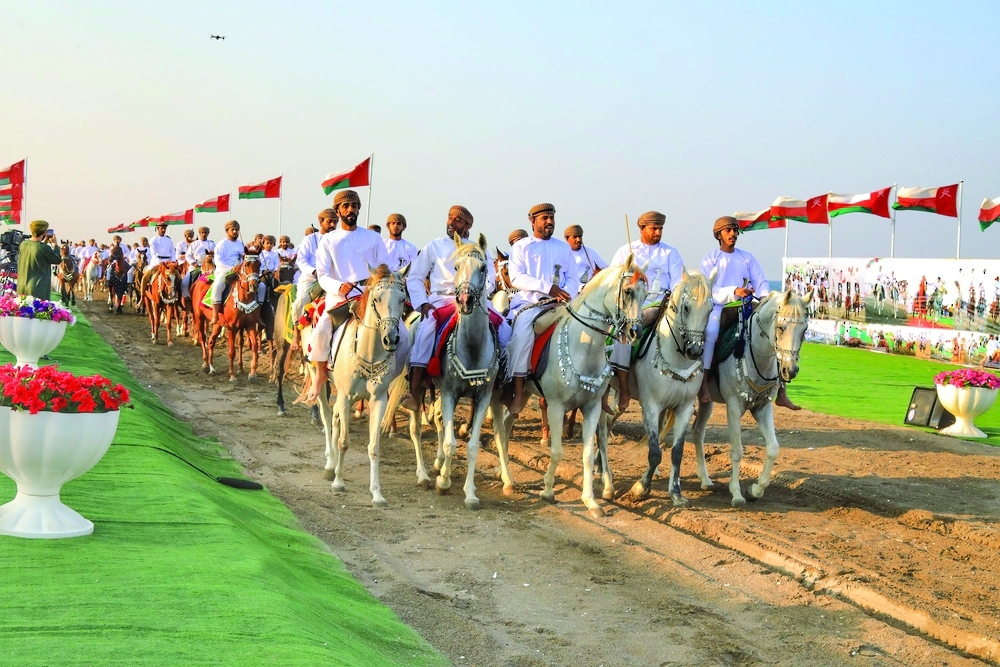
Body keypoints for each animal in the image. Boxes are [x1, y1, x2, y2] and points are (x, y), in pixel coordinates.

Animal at [311, 264, 414, 507]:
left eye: (402, 299)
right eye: (376, 298)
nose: (391, 339)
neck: (369, 352)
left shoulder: (378, 399)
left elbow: (374, 447)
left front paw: (377, 493)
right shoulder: (346, 395)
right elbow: (344, 441)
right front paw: (338, 483)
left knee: (335, 417)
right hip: (321, 380)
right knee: (327, 415)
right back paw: (330, 465)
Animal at [495, 256, 647, 518]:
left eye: (646, 294)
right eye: (628, 291)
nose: (635, 331)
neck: (584, 346)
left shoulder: (593, 408)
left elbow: (587, 454)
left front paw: (591, 502)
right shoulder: (556, 406)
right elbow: (557, 451)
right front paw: (547, 490)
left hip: (521, 396)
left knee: (505, 425)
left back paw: (507, 478)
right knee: (498, 429)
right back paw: (505, 478)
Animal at [621, 268, 716, 506]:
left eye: (711, 309)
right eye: (686, 307)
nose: (694, 351)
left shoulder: (685, 408)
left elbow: (677, 452)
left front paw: (676, 493)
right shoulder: (650, 405)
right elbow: (655, 452)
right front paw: (640, 488)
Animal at [691, 289, 812, 507]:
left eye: (804, 330)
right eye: (780, 327)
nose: (790, 370)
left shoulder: (762, 409)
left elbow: (773, 448)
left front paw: (755, 490)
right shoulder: (733, 407)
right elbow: (737, 451)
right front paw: (737, 494)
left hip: (706, 402)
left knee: (697, 432)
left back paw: (705, 479)